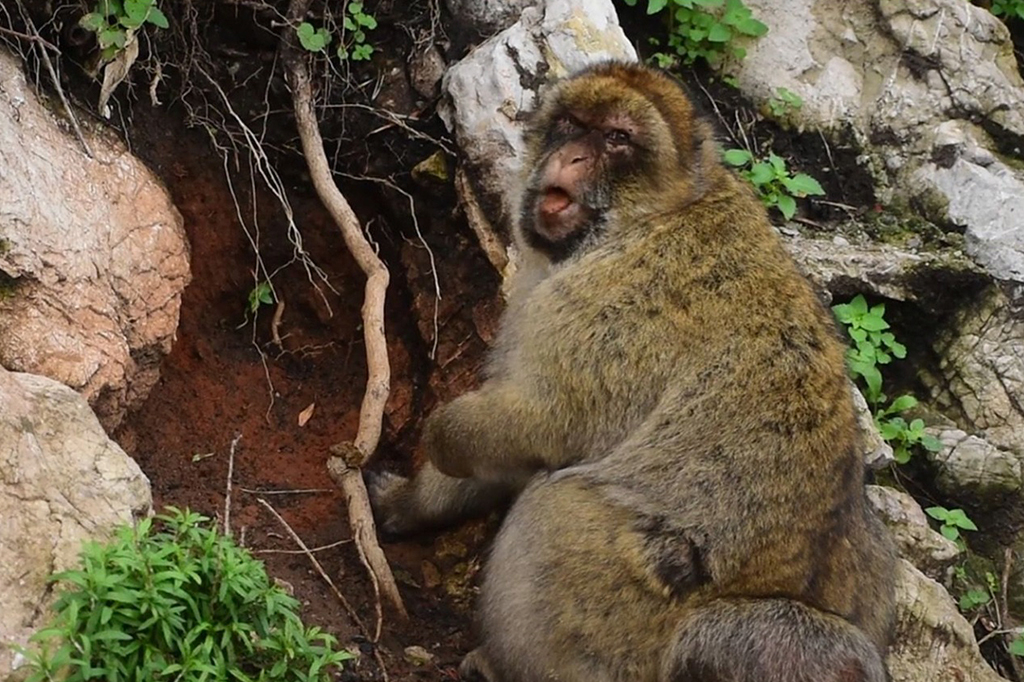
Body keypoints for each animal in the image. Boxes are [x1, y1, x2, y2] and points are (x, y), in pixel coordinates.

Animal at [368, 61, 896, 681]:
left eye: (616, 138)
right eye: (572, 124)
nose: (570, 157)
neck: (657, 214)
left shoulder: (610, 303)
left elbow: (541, 425)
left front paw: (443, 438)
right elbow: (511, 455)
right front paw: (410, 504)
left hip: (630, 620)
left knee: (557, 505)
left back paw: (504, 665)